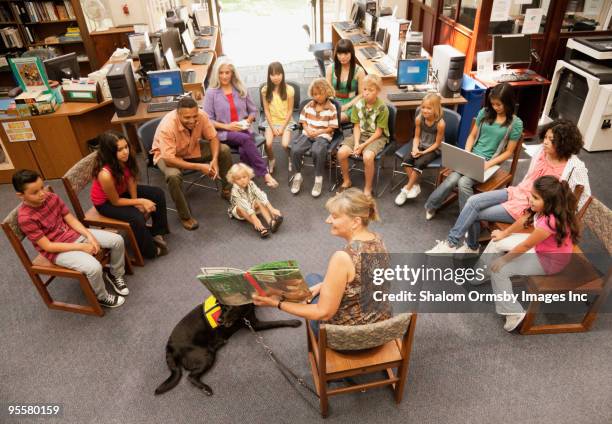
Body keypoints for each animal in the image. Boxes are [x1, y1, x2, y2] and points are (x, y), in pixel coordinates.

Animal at [154, 302, 300, 394]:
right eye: (221, 307)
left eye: (228, 307)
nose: (219, 321)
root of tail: (170, 346)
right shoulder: (254, 324)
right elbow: (276, 322)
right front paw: (293, 321)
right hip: (206, 355)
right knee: (191, 377)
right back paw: (206, 389)